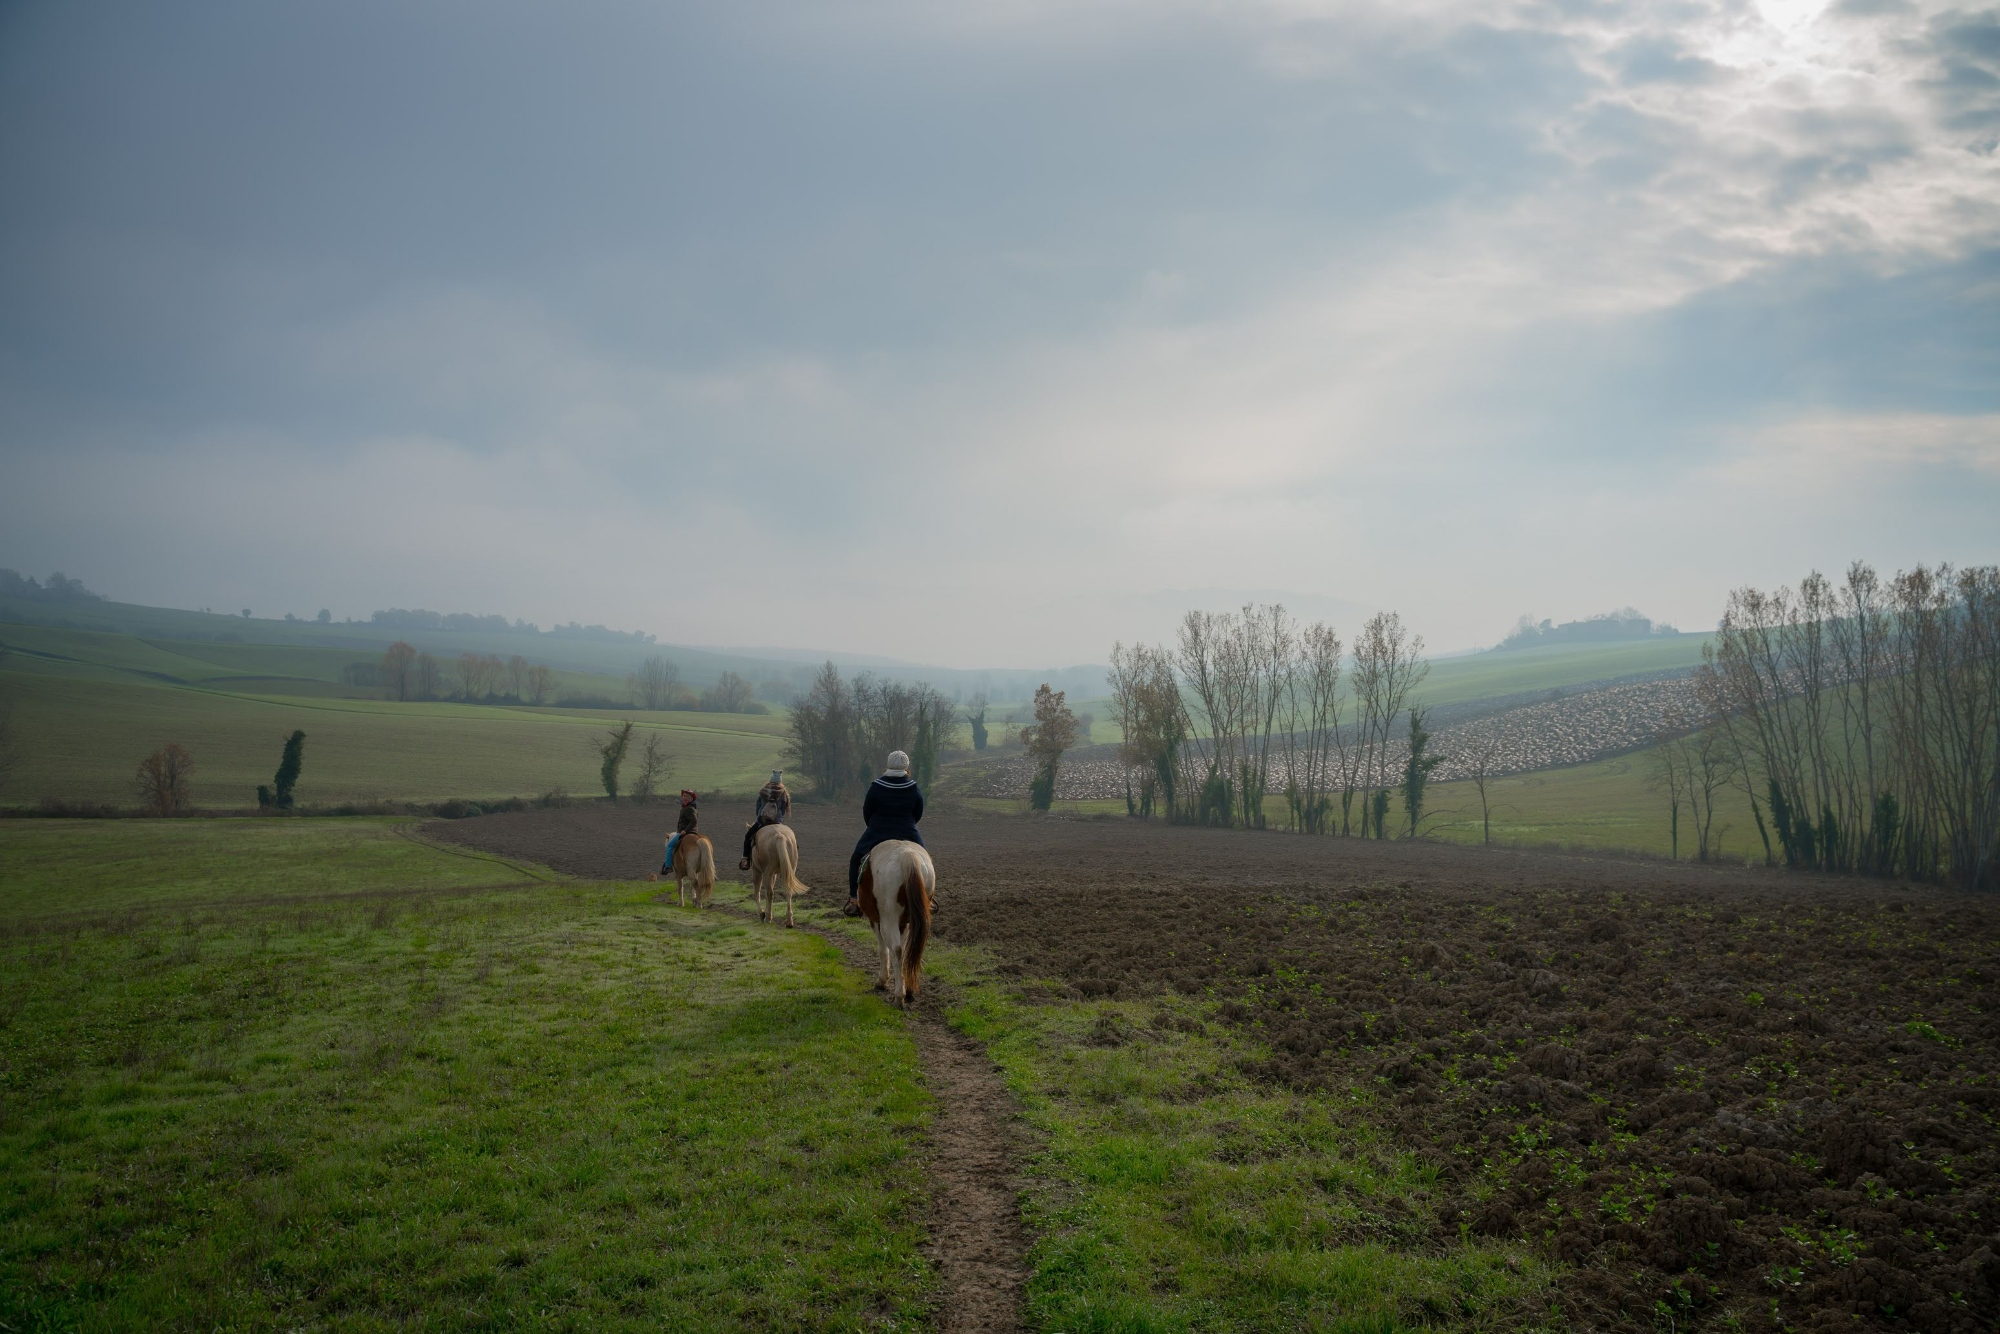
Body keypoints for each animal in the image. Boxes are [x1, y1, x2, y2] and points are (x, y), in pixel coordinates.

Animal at [852, 840, 928, 1008]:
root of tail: (907, 856)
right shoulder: (903, 923)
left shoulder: (875, 920)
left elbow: (882, 949)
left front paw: (882, 981)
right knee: (910, 951)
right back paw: (909, 991)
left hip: (888, 918)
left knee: (896, 949)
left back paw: (899, 997)